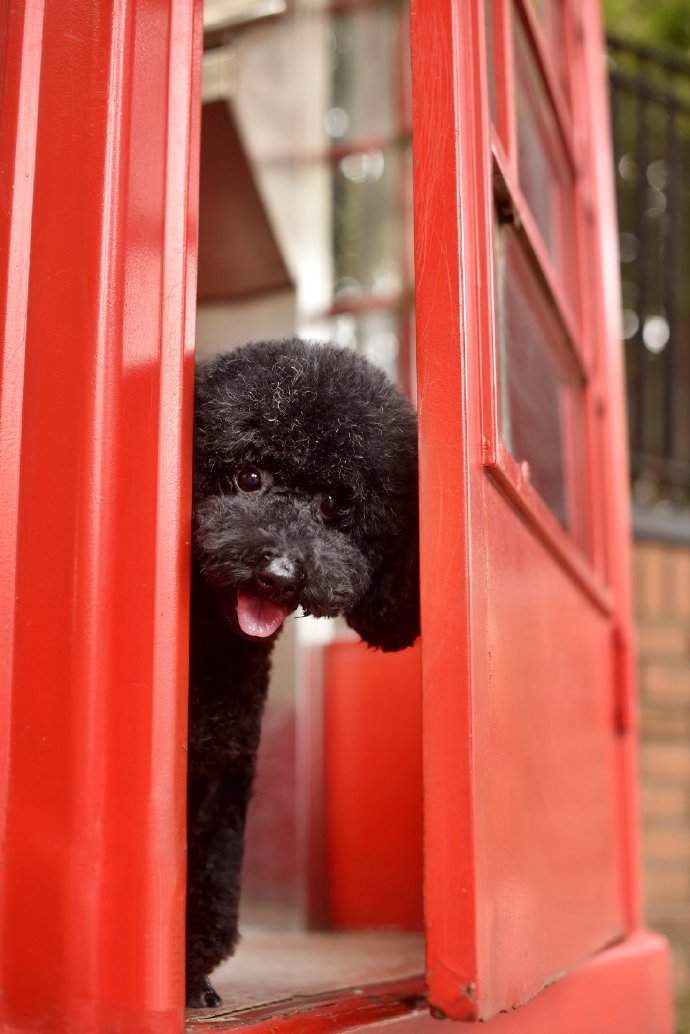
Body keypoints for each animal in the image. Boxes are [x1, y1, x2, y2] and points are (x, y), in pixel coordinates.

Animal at [186, 341, 417, 1009]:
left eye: (337, 504)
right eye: (249, 477)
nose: (280, 574)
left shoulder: (223, 772)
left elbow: (209, 880)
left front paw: (191, 978)